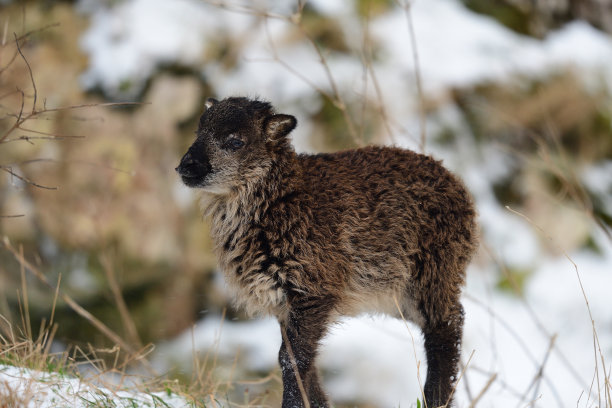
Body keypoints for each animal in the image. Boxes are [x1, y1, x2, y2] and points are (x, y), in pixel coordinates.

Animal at [175, 96, 480, 408]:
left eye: (235, 141)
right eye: (199, 132)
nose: (187, 166)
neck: (282, 200)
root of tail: (458, 186)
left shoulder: (314, 289)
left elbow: (291, 359)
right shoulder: (284, 301)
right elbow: (302, 360)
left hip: (435, 271)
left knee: (447, 326)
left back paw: (436, 398)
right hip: (395, 293)